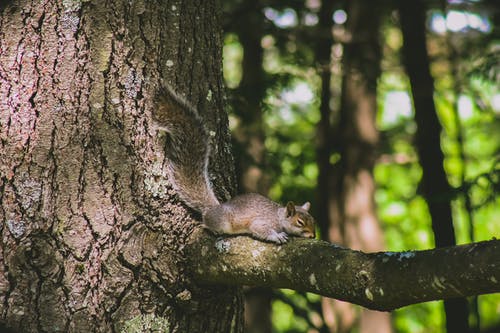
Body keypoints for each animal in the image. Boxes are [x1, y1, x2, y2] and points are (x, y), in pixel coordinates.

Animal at [152, 87, 316, 243]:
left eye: (313, 220)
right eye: (300, 222)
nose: (313, 235)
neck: (279, 218)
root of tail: (213, 208)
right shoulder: (262, 222)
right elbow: (260, 229)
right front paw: (277, 236)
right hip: (222, 222)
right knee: (206, 223)